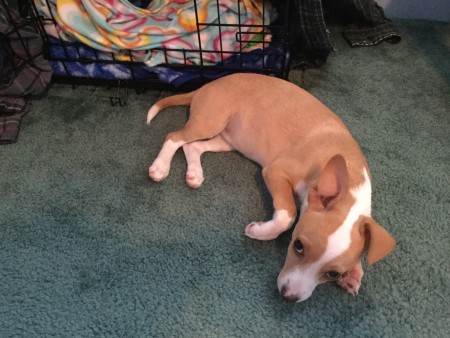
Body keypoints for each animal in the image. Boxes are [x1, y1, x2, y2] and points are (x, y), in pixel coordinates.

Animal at [146, 73, 396, 302]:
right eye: (298, 246)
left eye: (333, 274)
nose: (288, 297)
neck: (351, 176)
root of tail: (208, 84)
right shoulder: (275, 172)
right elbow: (287, 216)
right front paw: (259, 231)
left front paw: (354, 273)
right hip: (210, 121)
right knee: (174, 137)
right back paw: (160, 167)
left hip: (228, 140)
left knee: (192, 147)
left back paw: (194, 174)